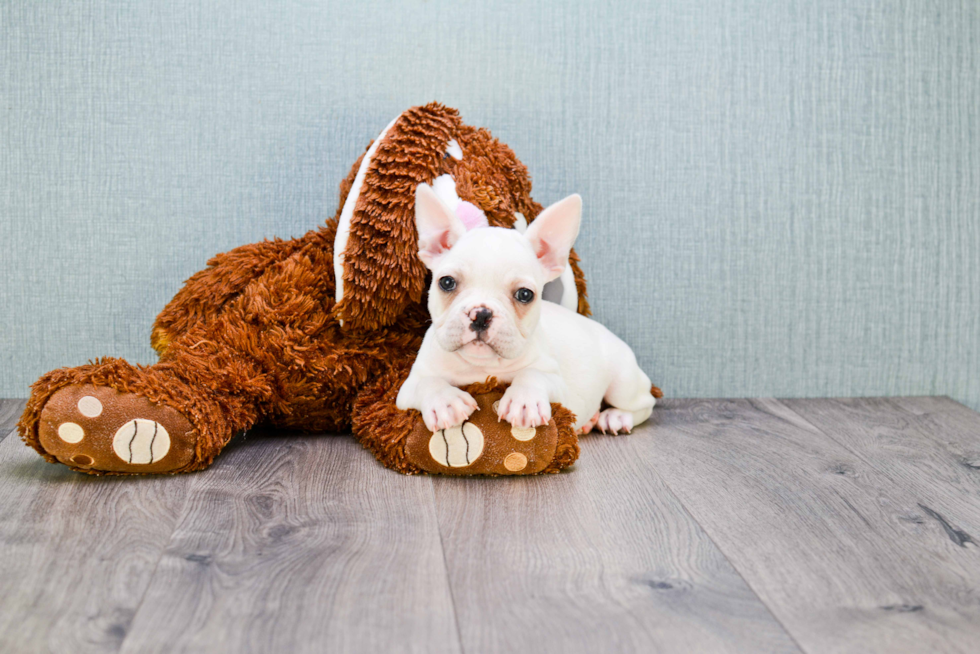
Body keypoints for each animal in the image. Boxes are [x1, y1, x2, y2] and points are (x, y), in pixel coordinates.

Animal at [394, 184, 656, 438]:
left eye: (525, 294)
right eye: (446, 282)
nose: (481, 314)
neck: (481, 367)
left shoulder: (558, 385)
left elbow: (533, 374)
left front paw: (524, 400)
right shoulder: (408, 388)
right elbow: (427, 382)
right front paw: (445, 401)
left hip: (623, 382)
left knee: (645, 404)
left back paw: (614, 417)